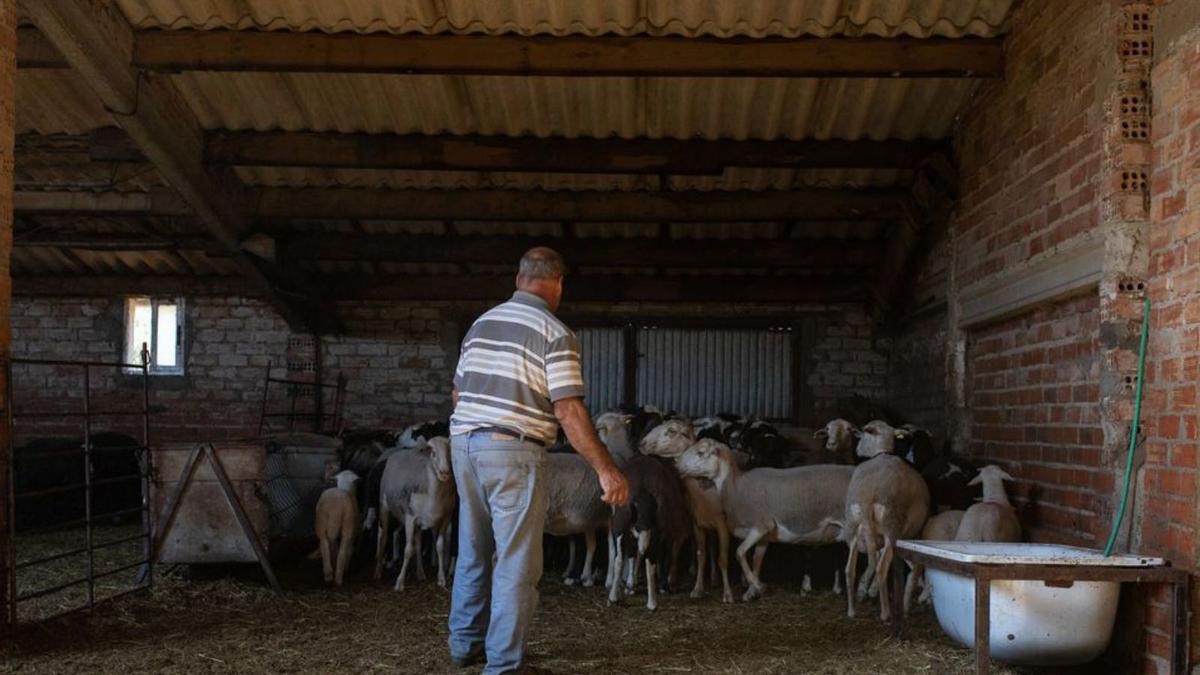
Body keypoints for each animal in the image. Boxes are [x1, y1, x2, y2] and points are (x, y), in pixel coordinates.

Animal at [374, 432, 453, 586]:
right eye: (433, 453)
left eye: (449, 452)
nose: (444, 472)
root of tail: (399, 451)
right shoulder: (410, 518)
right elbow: (408, 549)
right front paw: (400, 582)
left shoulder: (445, 518)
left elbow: (439, 546)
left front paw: (441, 578)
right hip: (384, 505)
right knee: (383, 535)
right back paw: (378, 571)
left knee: (418, 542)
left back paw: (420, 573)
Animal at [676, 439, 854, 600]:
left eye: (700, 452)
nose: (677, 466)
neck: (736, 486)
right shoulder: (764, 537)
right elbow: (756, 561)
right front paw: (751, 592)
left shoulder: (762, 525)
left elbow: (739, 553)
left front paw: (758, 586)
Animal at [844, 451, 926, 619]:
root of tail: (866, 495)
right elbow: (913, 569)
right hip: (891, 529)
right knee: (881, 569)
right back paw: (886, 613)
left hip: (854, 528)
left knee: (849, 569)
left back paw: (851, 611)